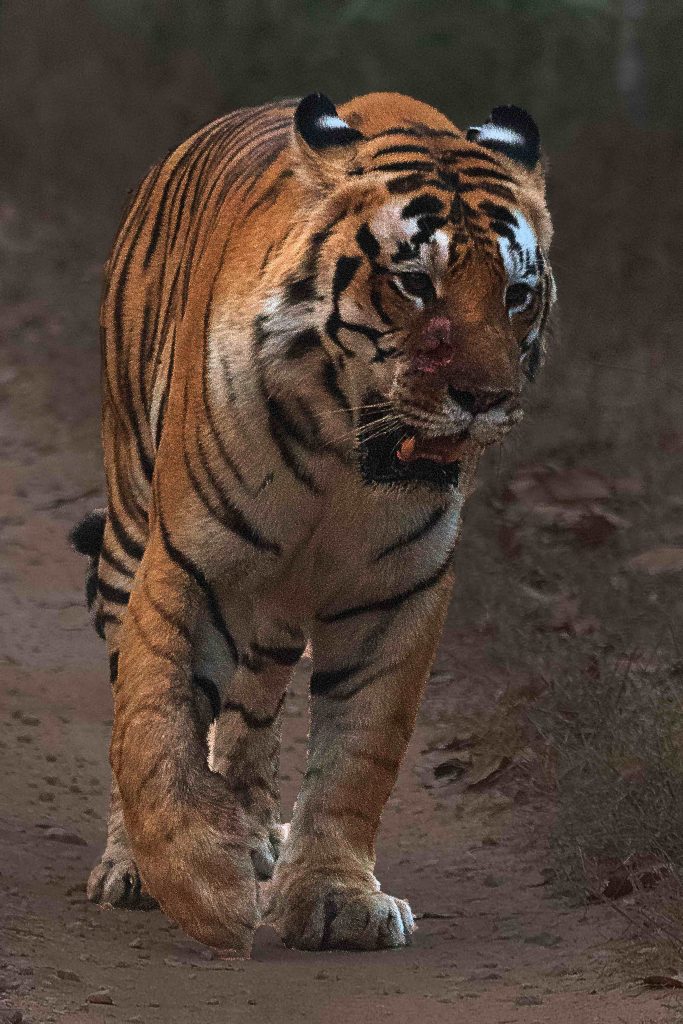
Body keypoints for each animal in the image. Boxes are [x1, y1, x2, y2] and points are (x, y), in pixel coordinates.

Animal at [70, 92, 557, 954]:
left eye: (515, 293)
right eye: (414, 284)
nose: (486, 397)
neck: (341, 458)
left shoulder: (397, 593)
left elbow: (357, 756)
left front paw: (336, 896)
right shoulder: (188, 564)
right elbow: (155, 729)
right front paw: (198, 885)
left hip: (271, 610)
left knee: (254, 709)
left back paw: (253, 827)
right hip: (128, 523)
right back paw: (145, 859)